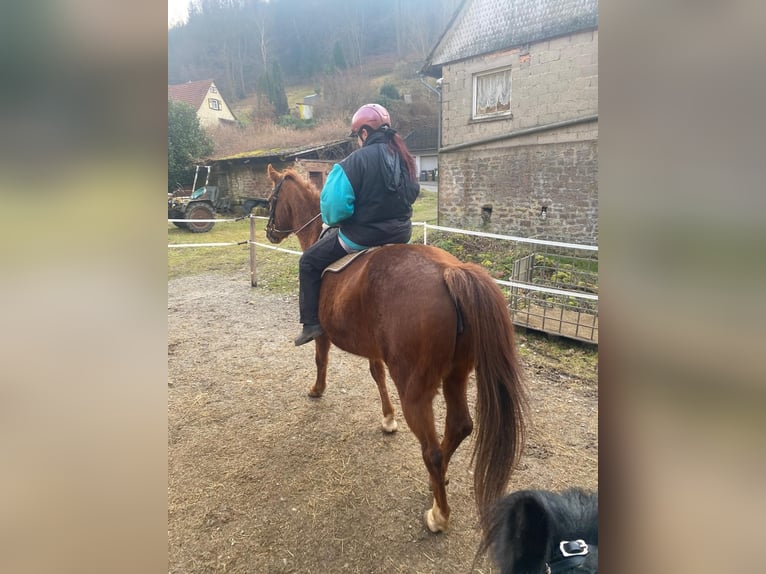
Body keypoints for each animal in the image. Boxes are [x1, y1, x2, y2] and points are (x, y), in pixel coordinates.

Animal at [264, 163, 528, 536]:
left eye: (272, 199)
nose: (271, 232)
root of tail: (451, 272)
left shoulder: (323, 333)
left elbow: (320, 359)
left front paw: (317, 390)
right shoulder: (374, 347)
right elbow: (376, 374)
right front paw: (388, 419)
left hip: (415, 389)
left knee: (431, 450)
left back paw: (439, 514)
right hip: (456, 375)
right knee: (460, 426)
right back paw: (439, 481)